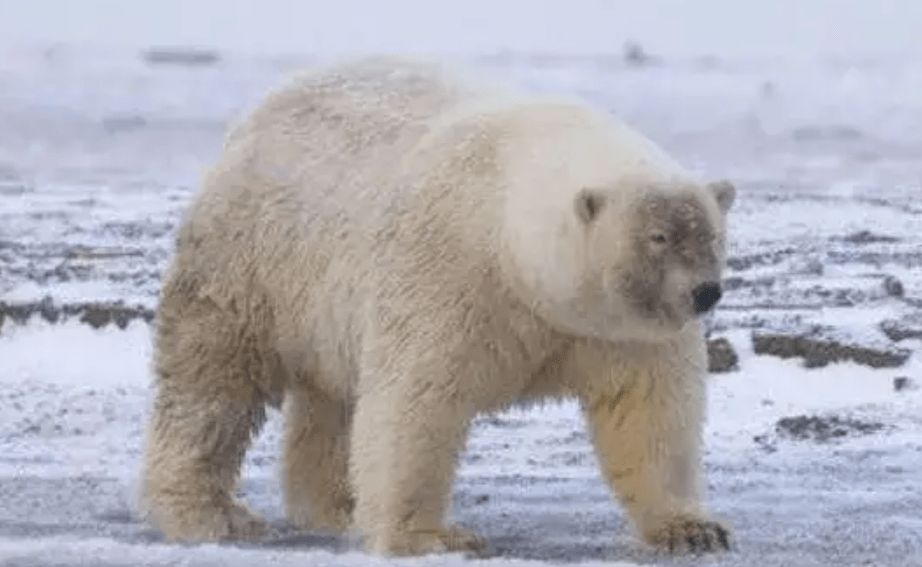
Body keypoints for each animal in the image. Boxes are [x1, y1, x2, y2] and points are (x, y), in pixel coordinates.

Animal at [140, 54, 736, 560]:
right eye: (659, 237)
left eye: (711, 235)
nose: (705, 292)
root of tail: (258, 113)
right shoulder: (451, 274)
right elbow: (416, 402)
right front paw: (434, 537)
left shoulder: (621, 330)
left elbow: (651, 411)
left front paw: (692, 529)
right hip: (254, 260)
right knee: (212, 383)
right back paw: (210, 515)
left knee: (332, 402)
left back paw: (337, 506)